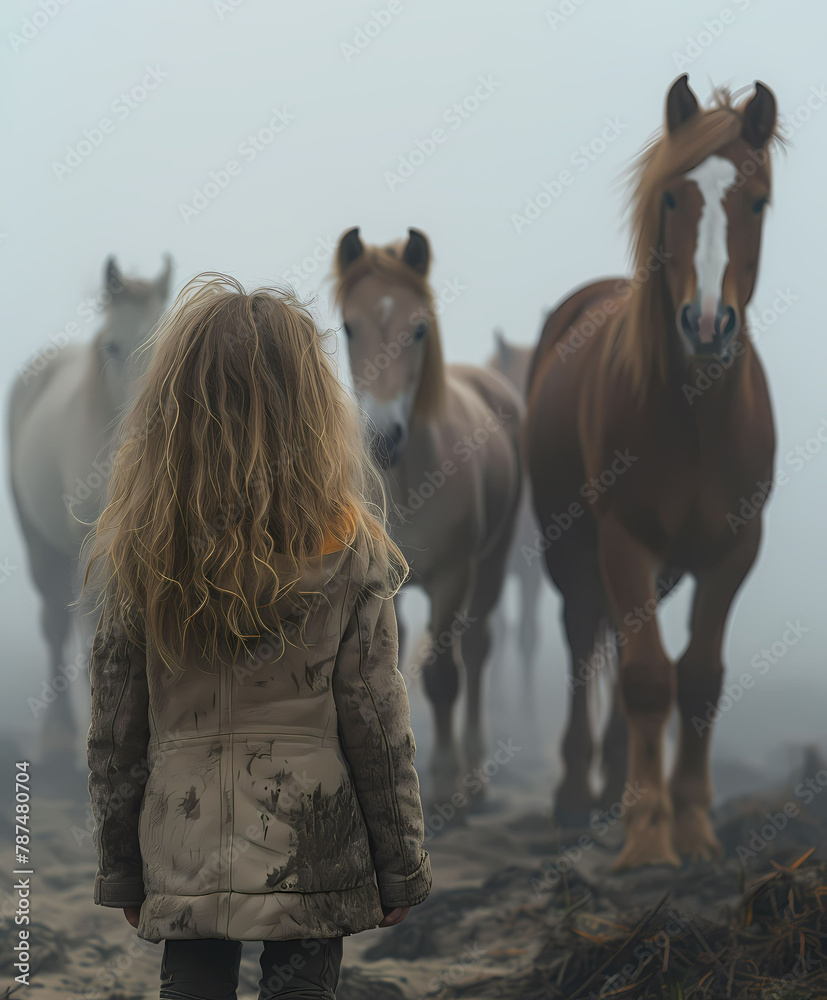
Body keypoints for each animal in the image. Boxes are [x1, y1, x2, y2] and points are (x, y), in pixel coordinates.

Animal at [333, 227, 522, 803]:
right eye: (349, 326)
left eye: (418, 329)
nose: (383, 436)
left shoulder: (453, 576)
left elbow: (442, 676)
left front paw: (442, 779)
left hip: (493, 562)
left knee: (477, 650)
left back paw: (476, 767)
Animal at [524, 75, 779, 869]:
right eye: (672, 197)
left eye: (757, 201)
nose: (707, 325)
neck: (696, 417)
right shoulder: (622, 539)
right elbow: (642, 677)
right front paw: (645, 837)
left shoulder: (735, 548)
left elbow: (696, 678)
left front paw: (692, 825)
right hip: (571, 546)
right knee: (584, 638)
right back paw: (578, 796)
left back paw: (611, 787)